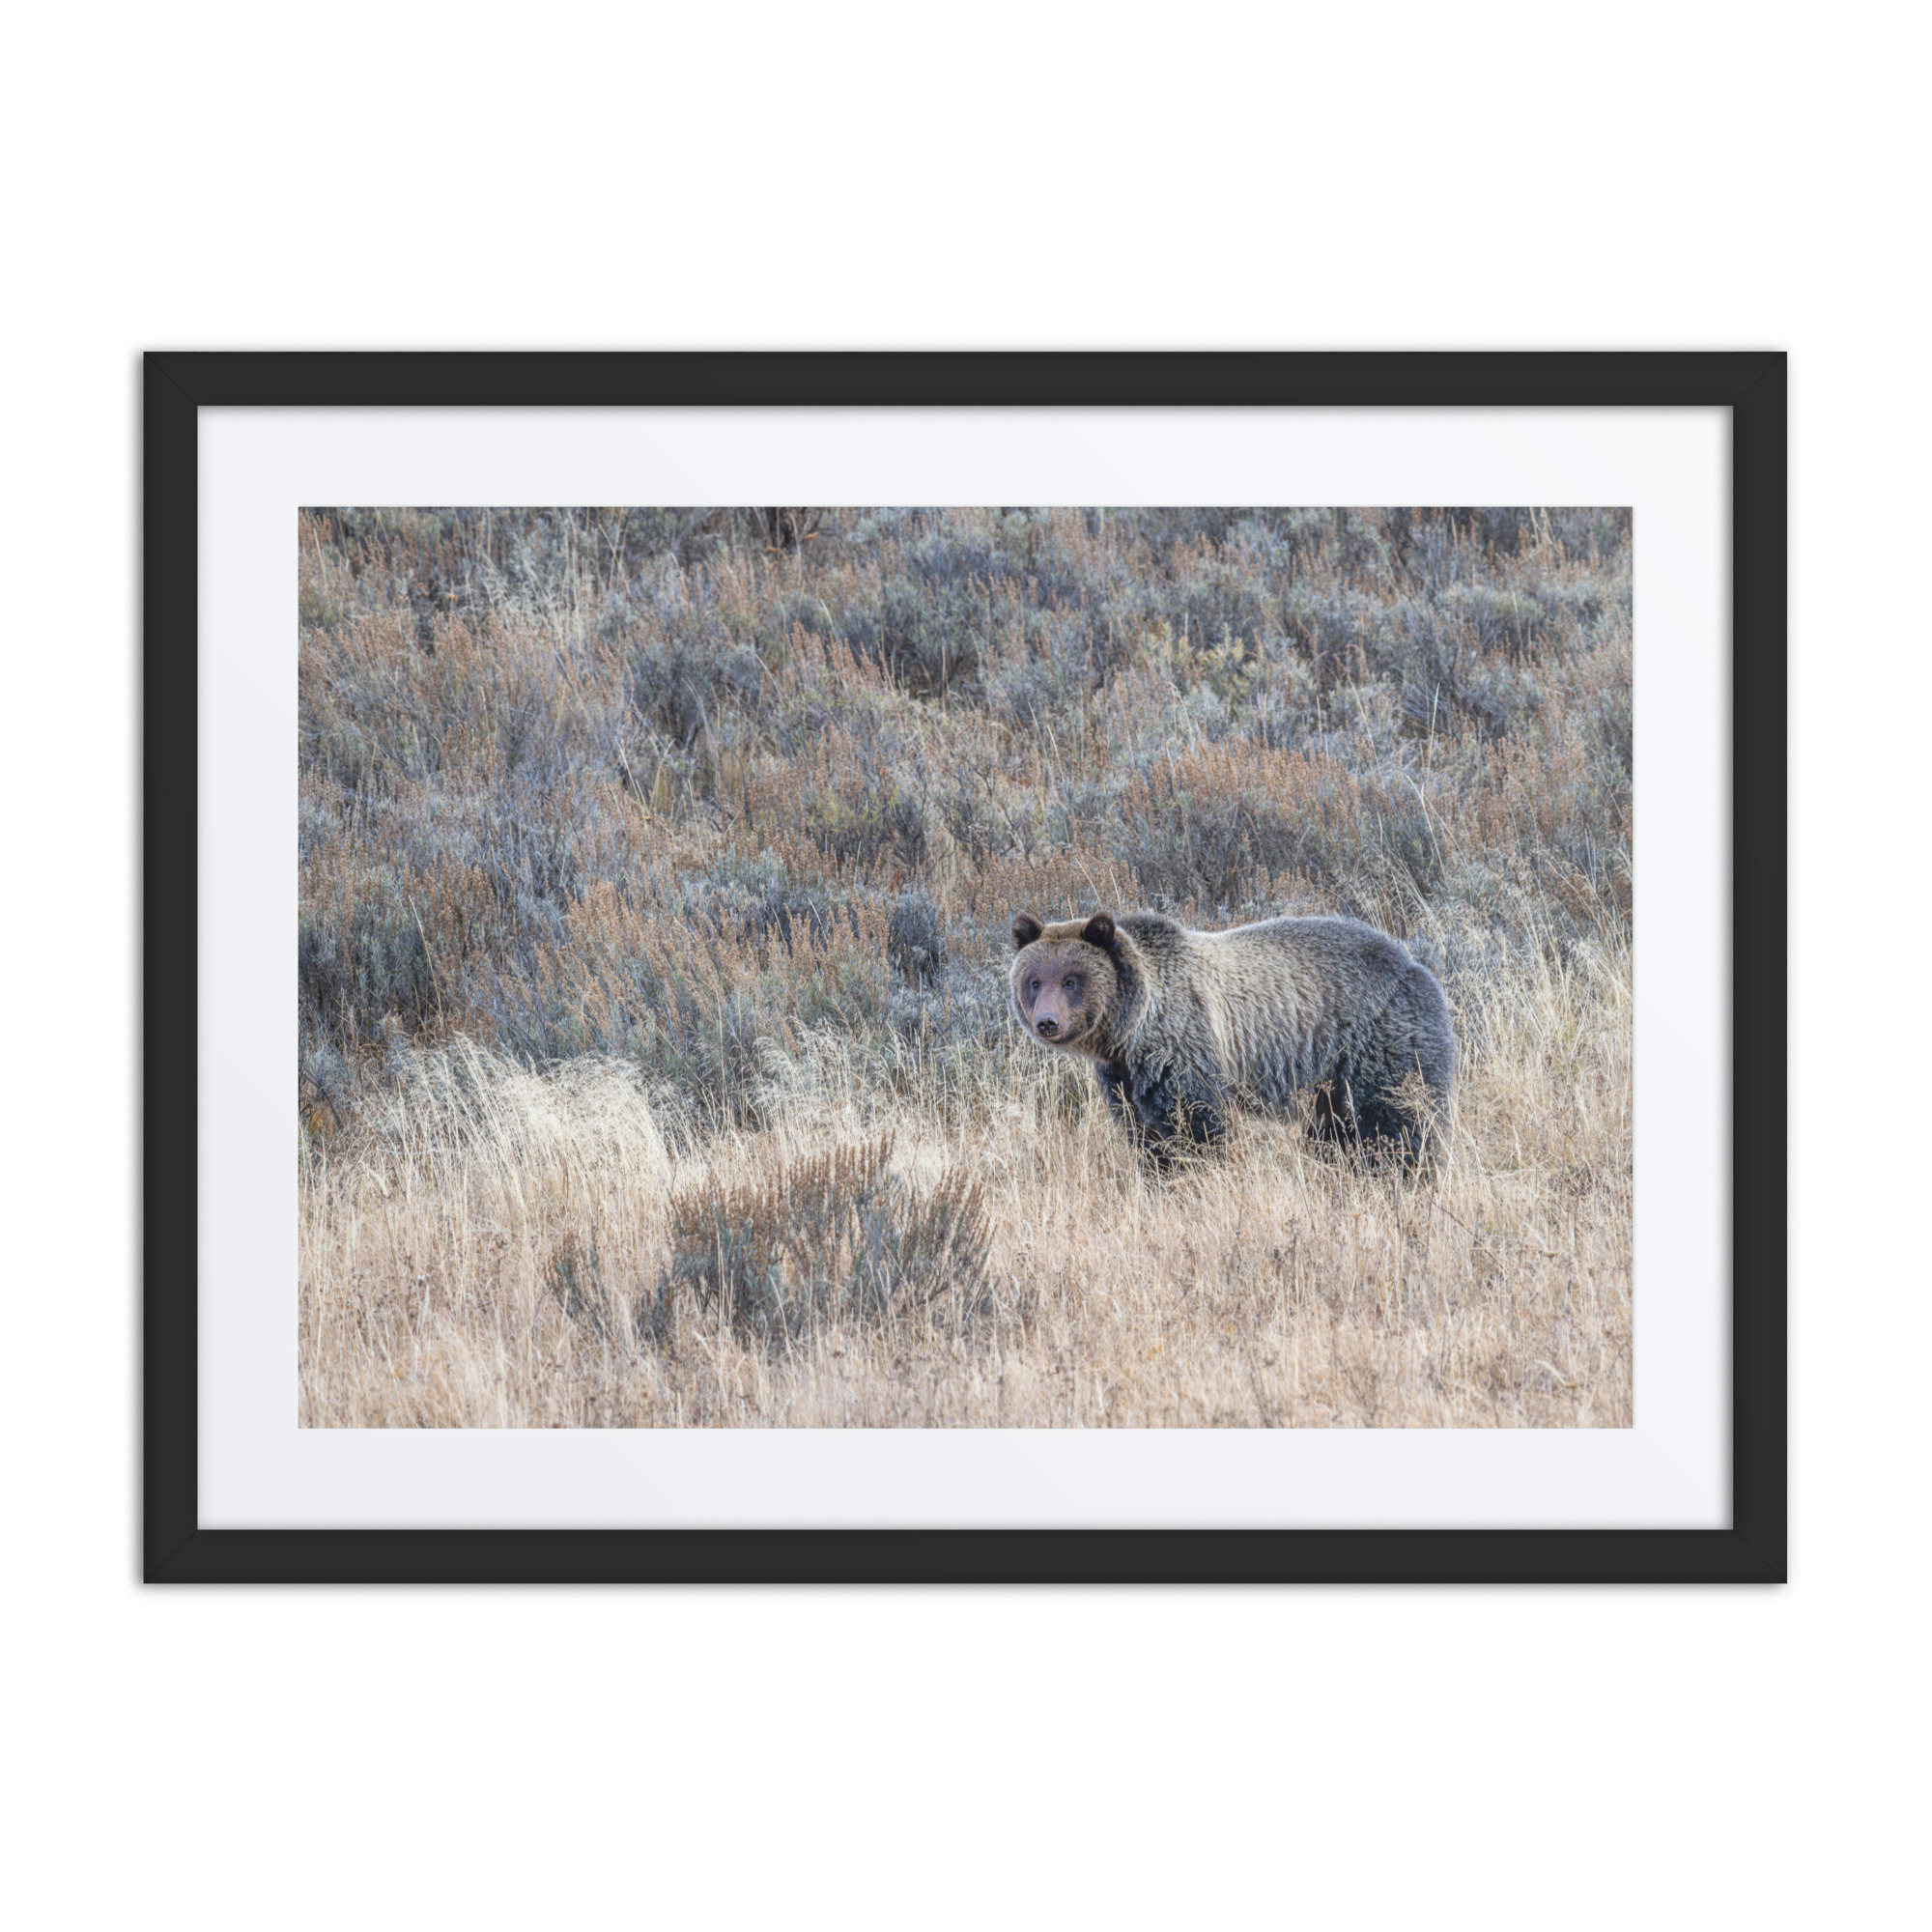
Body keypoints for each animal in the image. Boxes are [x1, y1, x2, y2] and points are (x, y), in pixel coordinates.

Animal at [1009, 908, 1455, 1165]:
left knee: (1395, 1121)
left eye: (1071, 980)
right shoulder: (1123, 1077)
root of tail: (1416, 966)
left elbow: (1195, 1126)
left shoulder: (1183, 1047)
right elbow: (1143, 1132)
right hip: (1330, 1081)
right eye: (1034, 981)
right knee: (1335, 1131)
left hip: (1378, 1042)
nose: (1047, 1022)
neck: (1131, 1030)